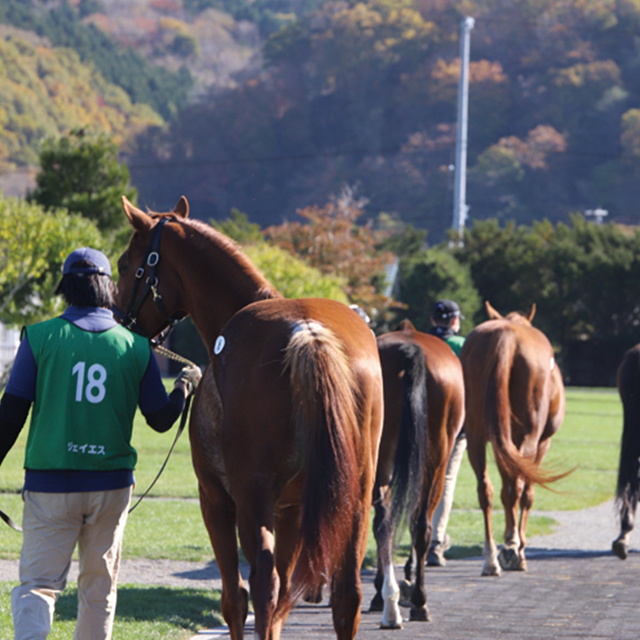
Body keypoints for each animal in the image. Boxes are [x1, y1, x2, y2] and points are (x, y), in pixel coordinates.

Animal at [112, 196, 382, 640]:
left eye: (123, 264)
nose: (120, 320)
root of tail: (308, 332)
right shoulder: (291, 510)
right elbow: (284, 597)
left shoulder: (217, 499)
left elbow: (237, 598)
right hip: (354, 497)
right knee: (345, 593)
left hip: (251, 496)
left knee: (261, 586)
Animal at [460, 302, 564, 576]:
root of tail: (507, 334)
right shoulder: (541, 444)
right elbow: (526, 493)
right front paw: (517, 546)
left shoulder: (500, 444)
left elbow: (505, 490)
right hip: (529, 438)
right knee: (518, 487)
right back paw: (512, 547)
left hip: (476, 437)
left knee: (485, 489)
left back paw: (490, 558)